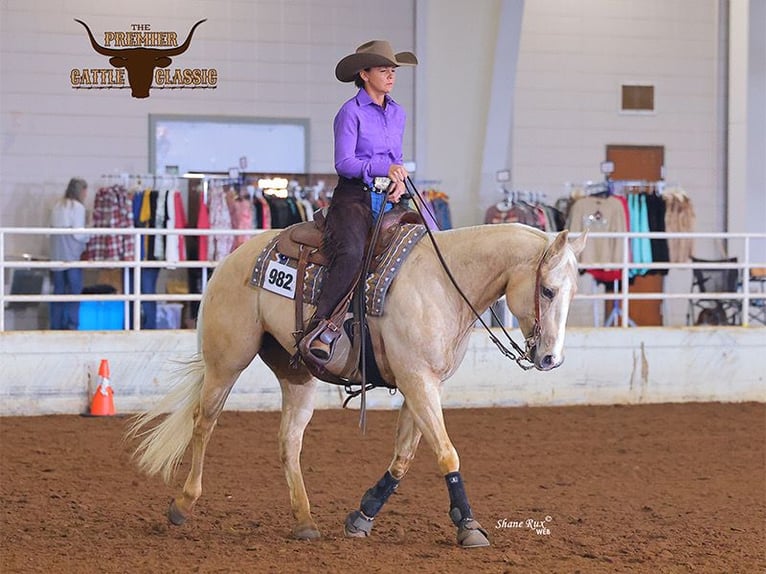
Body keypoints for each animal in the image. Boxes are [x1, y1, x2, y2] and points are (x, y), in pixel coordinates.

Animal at [127, 221, 586, 548]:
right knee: (204, 424)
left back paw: (305, 521)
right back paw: (183, 504)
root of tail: (230, 260)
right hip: (226, 361)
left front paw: (362, 516)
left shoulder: (423, 384)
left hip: (297, 374)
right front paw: (469, 526)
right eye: (548, 290)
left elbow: (405, 456)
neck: (444, 284)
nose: (551, 359)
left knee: (288, 442)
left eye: (573, 292)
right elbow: (447, 453)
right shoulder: (417, 380)